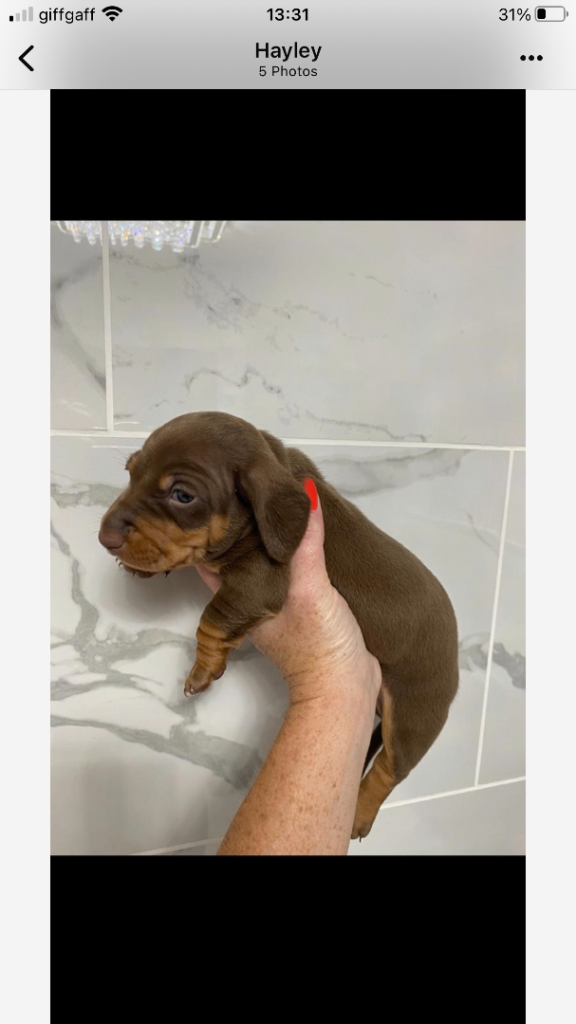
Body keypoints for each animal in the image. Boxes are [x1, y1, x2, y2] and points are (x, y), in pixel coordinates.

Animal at [99, 411, 459, 840]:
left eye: (182, 496)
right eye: (130, 473)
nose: (104, 537)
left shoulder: (259, 582)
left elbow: (211, 619)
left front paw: (203, 669)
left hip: (413, 718)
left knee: (390, 769)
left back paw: (360, 813)